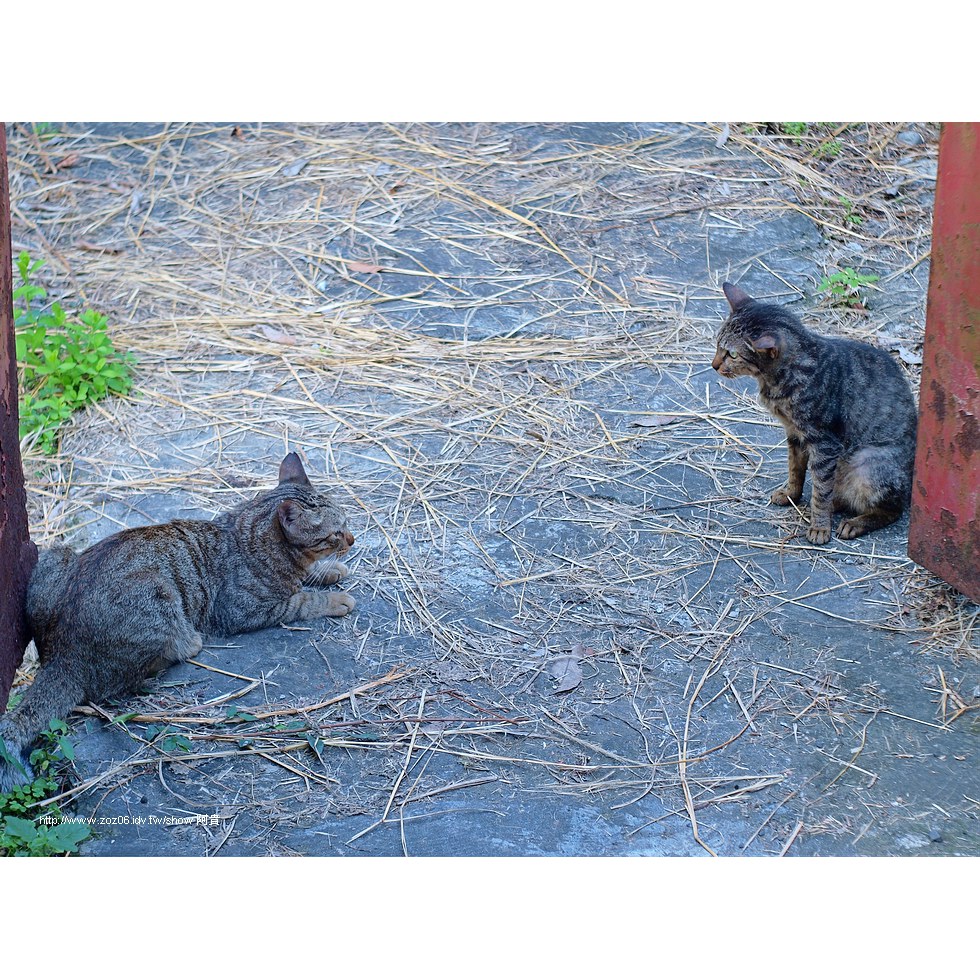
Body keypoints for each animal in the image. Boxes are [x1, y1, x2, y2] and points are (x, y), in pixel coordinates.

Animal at [1, 456, 354, 792]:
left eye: (347, 522)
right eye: (335, 533)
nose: (351, 540)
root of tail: (62, 656)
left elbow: (309, 576)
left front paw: (328, 571)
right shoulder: (245, 611)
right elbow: (302, 600)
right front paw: (334, 598)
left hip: (55, 556)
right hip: (158, 597)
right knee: (127, 677)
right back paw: (186, 644)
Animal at [712, 282, 920, 544]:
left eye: (732, 354)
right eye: (717, 344)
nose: (714, 365)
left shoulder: (824, 444)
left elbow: (820, 491)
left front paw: (820, 527)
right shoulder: (794, 432)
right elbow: (795, 469)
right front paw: (791, 494)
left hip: (868, 462)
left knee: (892, 509)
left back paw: (854, 523)